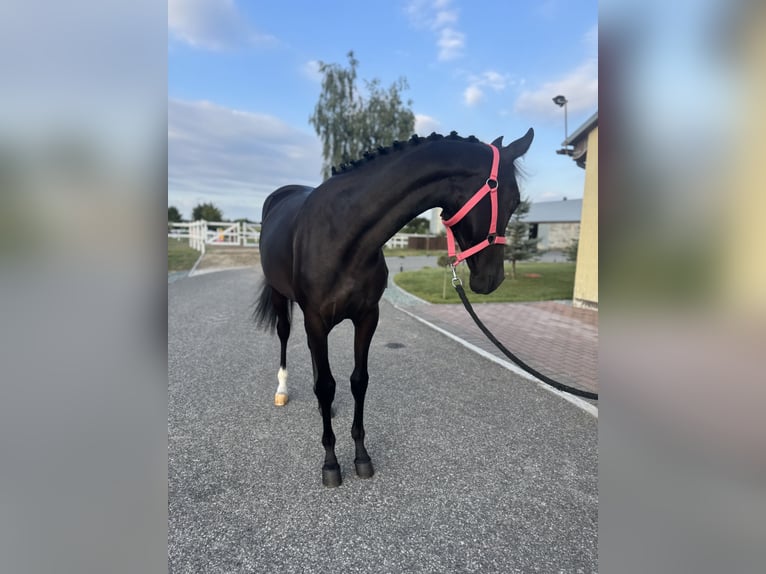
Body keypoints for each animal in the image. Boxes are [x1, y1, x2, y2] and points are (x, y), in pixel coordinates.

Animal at [254, 129, 534, 487]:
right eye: (513, 201)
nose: (492, 280)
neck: (342, 233)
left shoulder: (367, 318)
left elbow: (358, 381)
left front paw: (361, 456)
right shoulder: (316, 319)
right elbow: (326, 386)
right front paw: (331, 463)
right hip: (281, 298)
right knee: (285, 336)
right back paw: (282, 390)